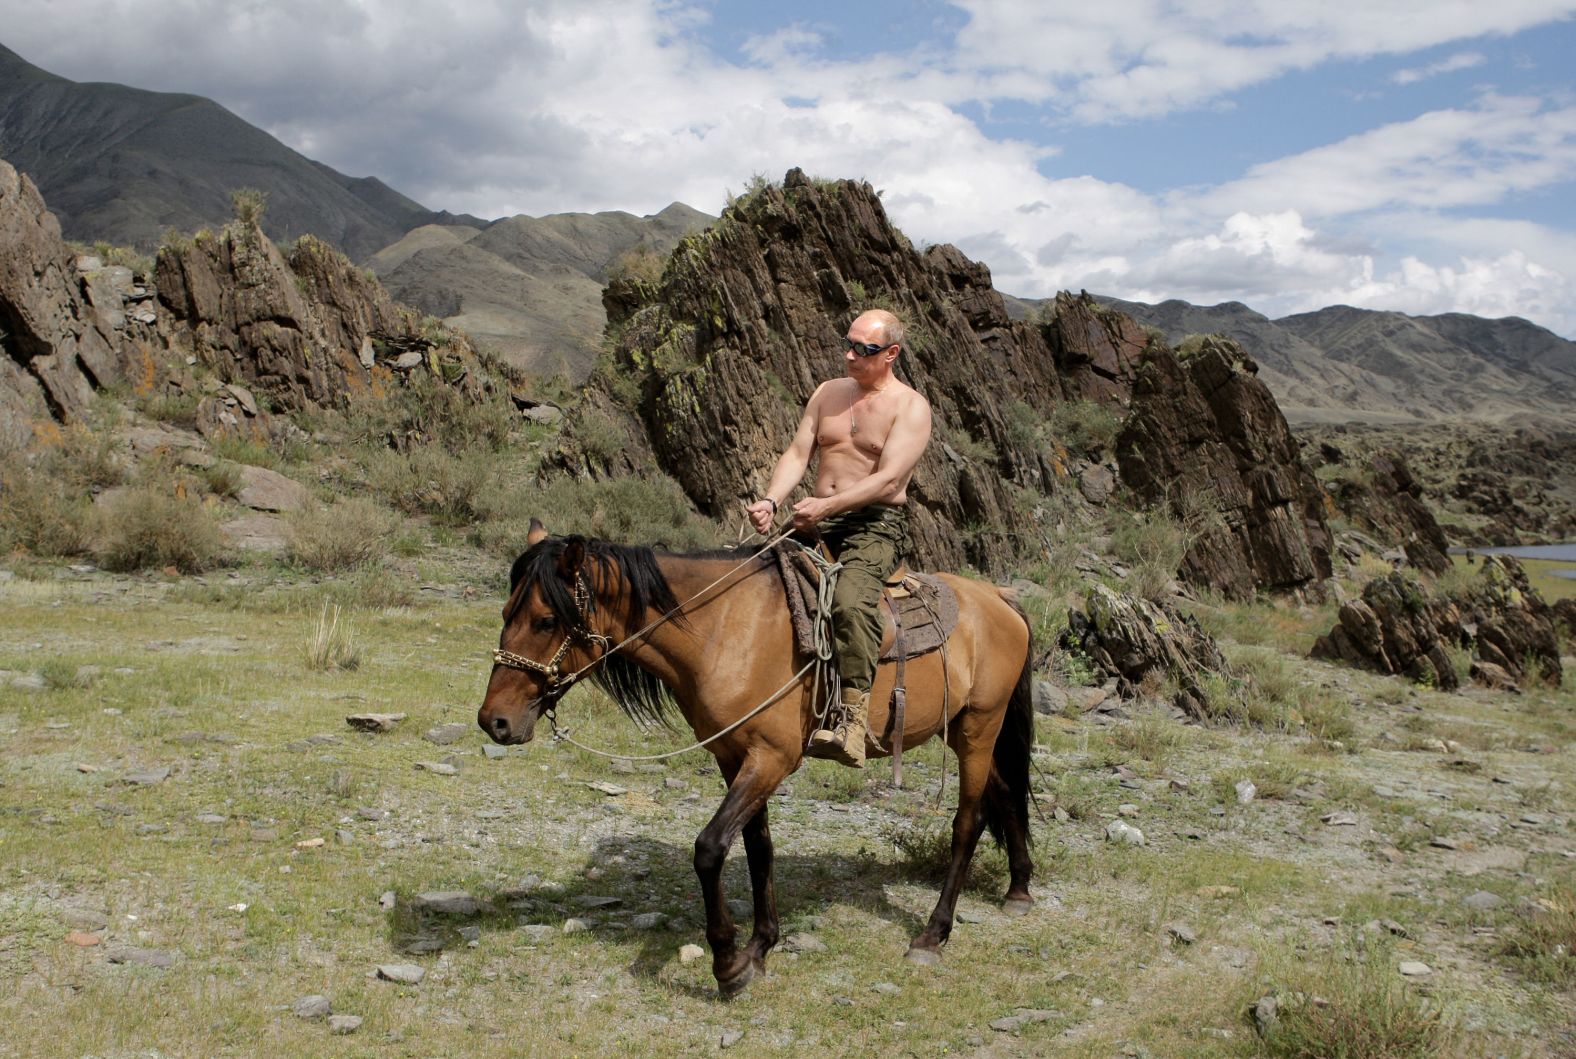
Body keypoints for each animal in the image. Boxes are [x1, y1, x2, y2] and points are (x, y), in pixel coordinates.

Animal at [479, 523, 1033, 1002]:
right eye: (505, 612)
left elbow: (710, 848)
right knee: (1006, 792)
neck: (722, 630)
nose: (494, 721)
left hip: (978, 727)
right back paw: (1020, 888)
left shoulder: (773, 757)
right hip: (966, 729)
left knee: (968, 822)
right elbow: (757, 846)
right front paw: (761, 946)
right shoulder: (735, 757)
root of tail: (999, 599)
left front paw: (728, 962)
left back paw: (933, 934)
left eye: (546, 620)